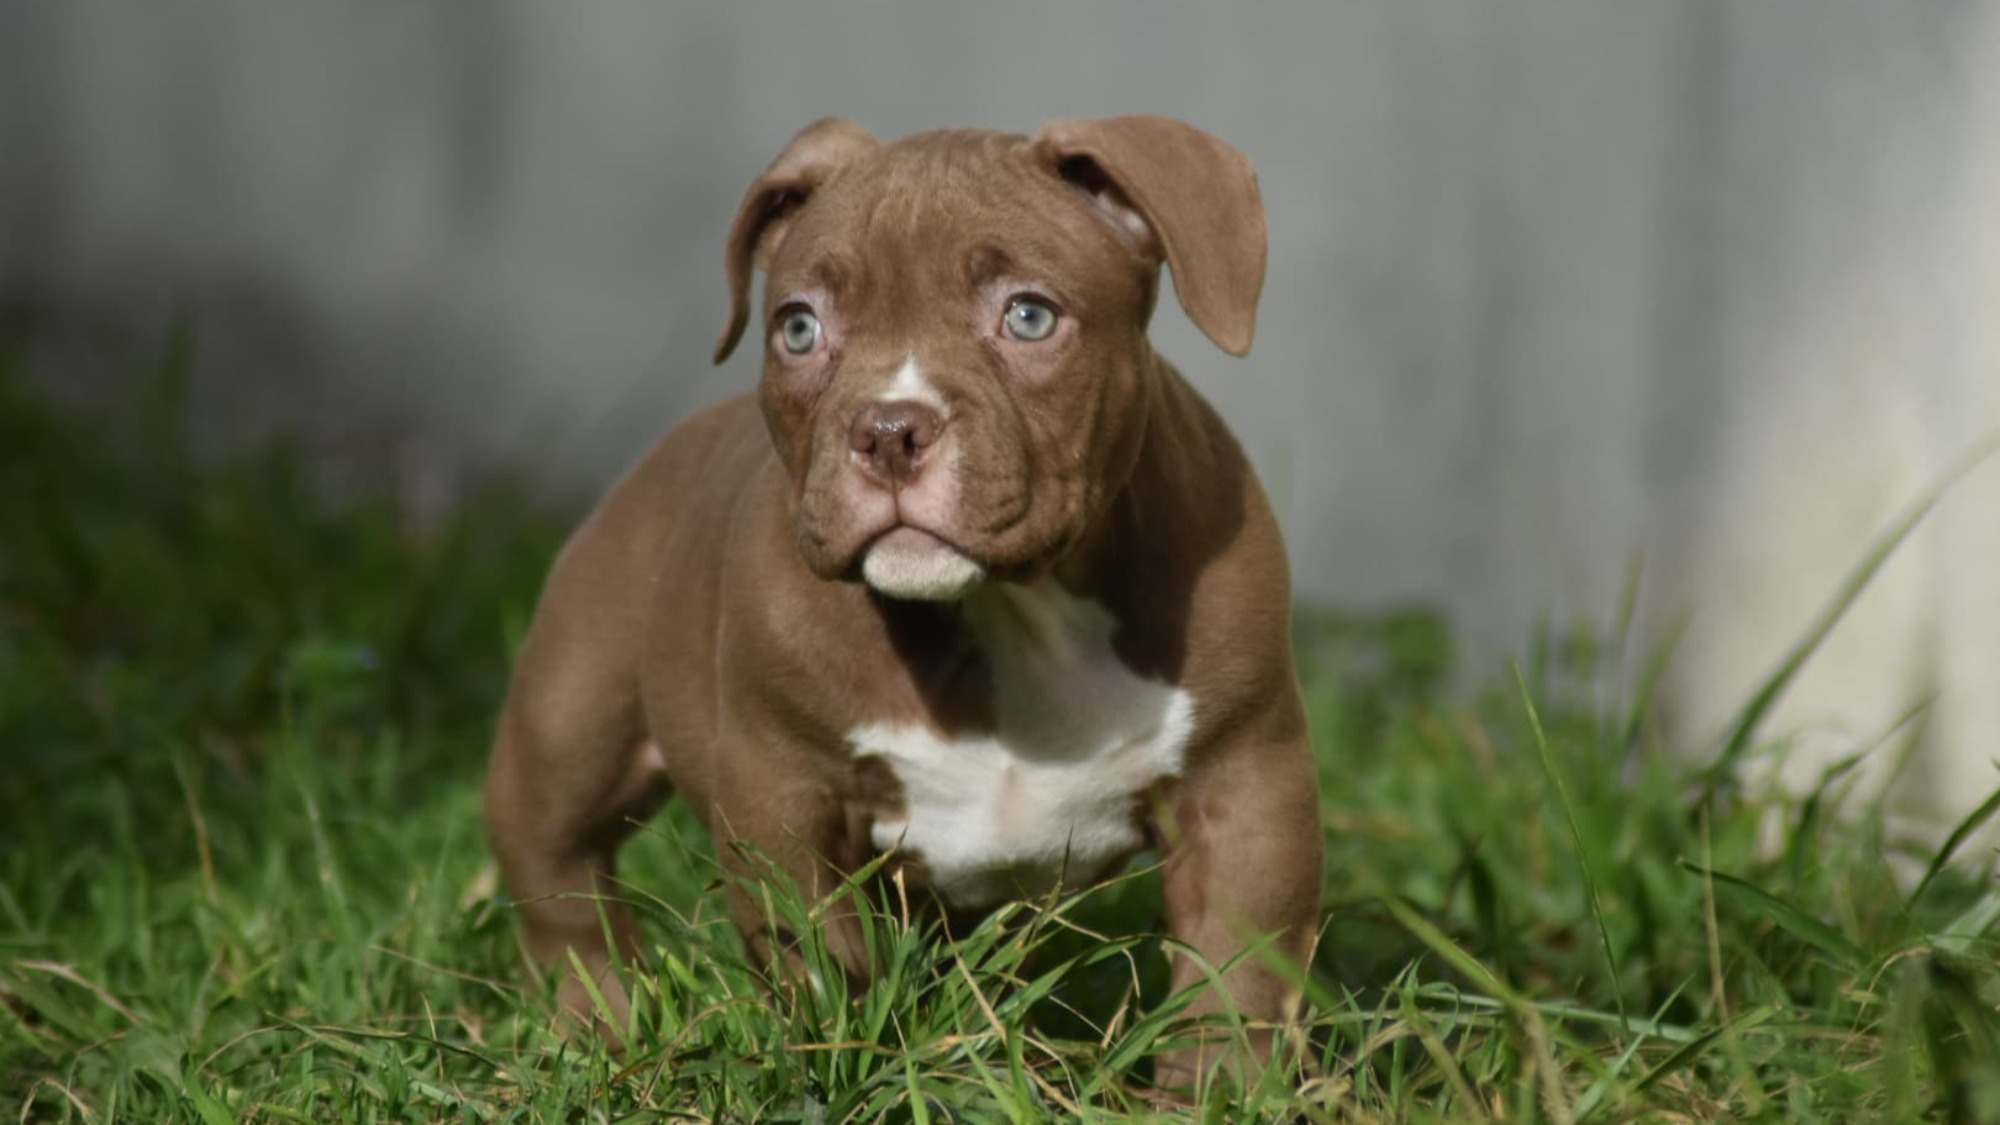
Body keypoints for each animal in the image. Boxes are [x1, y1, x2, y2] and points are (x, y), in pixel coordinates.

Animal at [484, 114, 1328, 1080]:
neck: (1009, 611)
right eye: (799, 327)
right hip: (569, 718)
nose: (888, 429)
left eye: (1029, 315)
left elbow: (1236, 978)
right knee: (561, 879)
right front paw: (840, 1060)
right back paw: (601, 1028)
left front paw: (1215, 1091)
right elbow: (816, 955)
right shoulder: (785, 795)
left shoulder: (1245, 783)